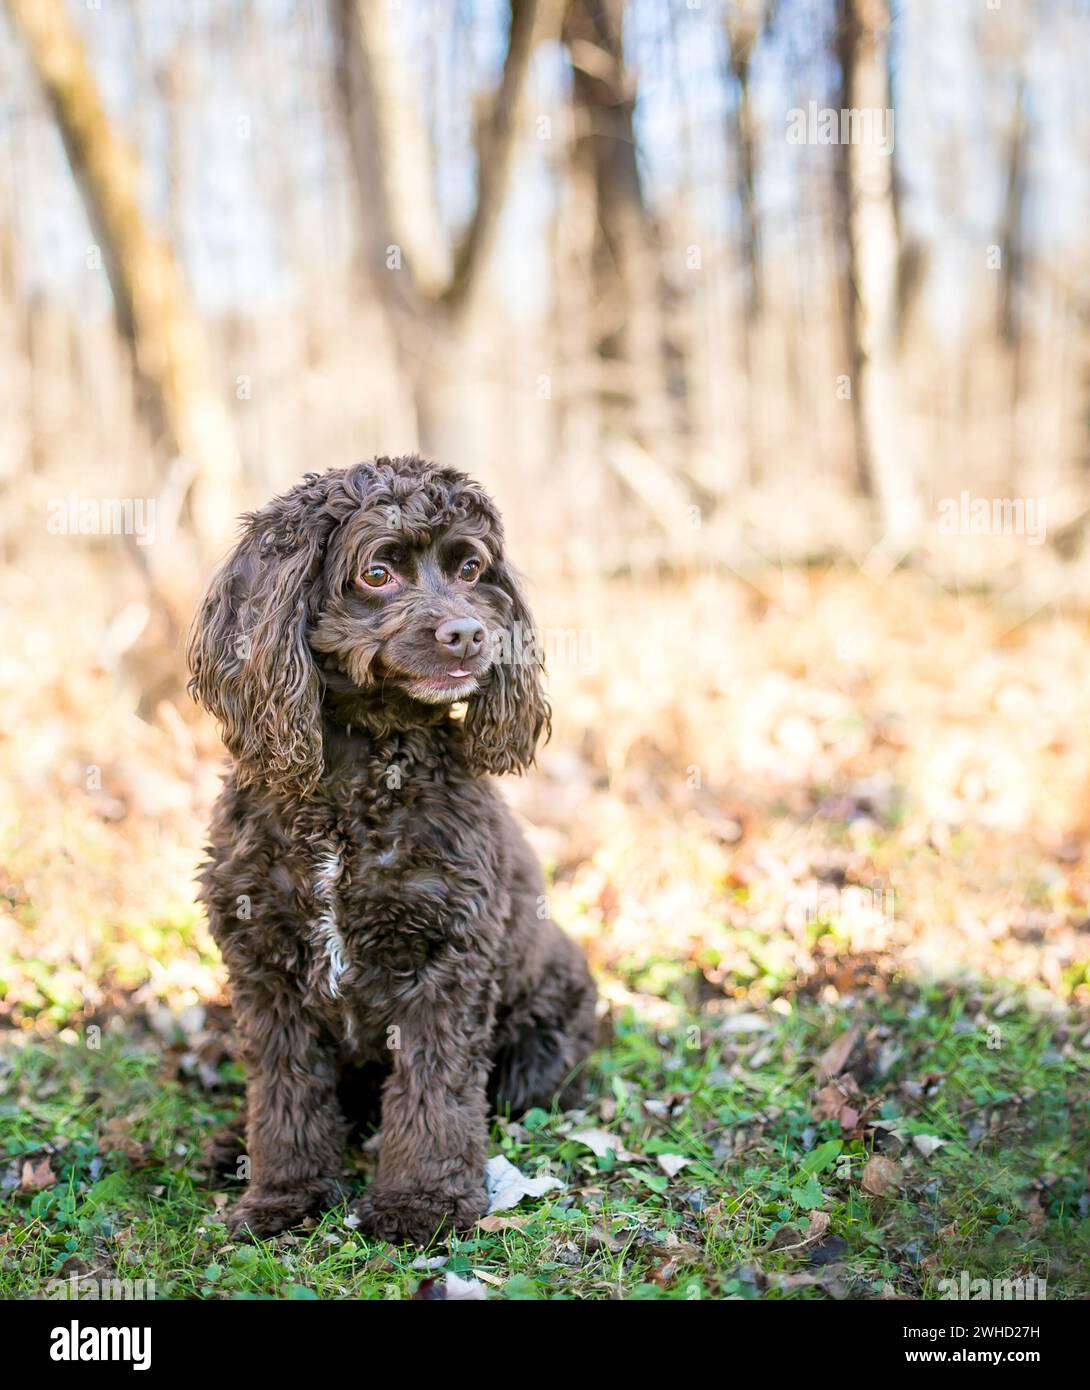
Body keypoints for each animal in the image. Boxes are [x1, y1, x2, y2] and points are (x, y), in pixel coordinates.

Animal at [187, 453, 595, 1239]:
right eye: (378, 573)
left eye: (470, 568)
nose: (468, 634)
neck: (352, 782)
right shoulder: (264, 970)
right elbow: (284, 1094)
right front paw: (282, 1194)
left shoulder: (445, 960)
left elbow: (435, 1093)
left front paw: (421, 1202)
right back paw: (229, 1146)